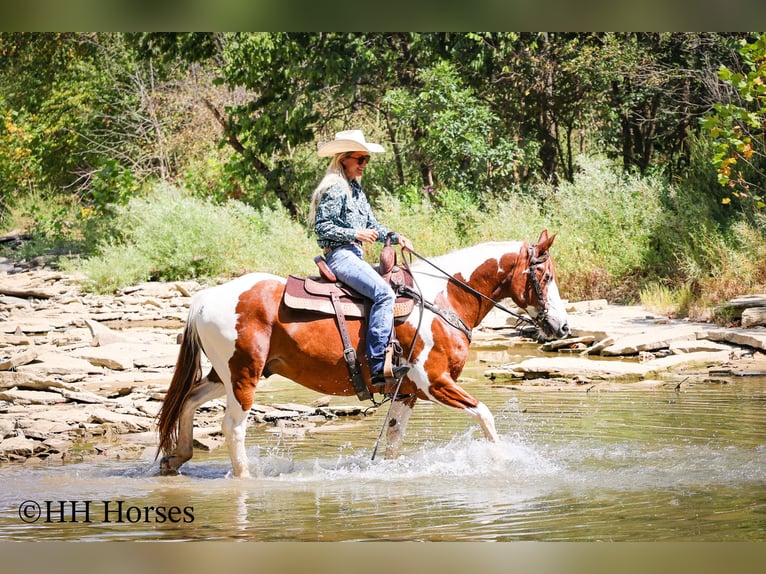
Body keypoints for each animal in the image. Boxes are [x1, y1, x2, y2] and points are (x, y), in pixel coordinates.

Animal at [157, 230, 569, 477]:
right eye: (546, 277)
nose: (563, 327)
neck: (443, 300)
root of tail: (206, 298)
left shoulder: (407, 392)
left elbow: (393, 442)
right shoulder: (435, 382)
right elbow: (485, 415)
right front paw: (502, 465)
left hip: (225, 375)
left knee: (188, 400)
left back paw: (177, 458)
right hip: (243, 376)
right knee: (233, 427)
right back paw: (244, 476)